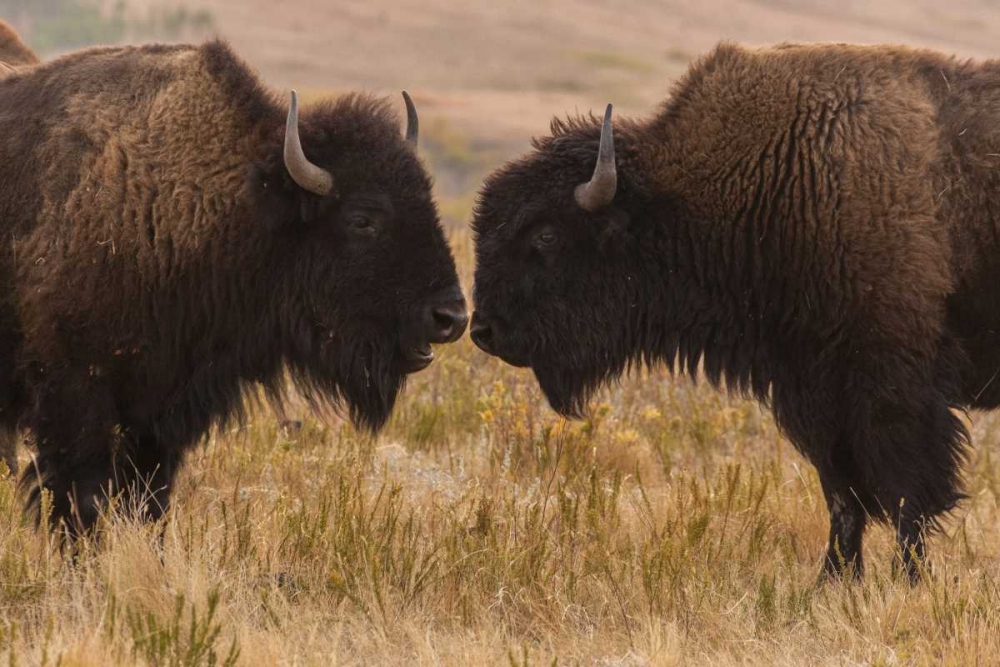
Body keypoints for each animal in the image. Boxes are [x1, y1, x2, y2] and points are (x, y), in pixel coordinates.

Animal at [0, 40, 466, 534]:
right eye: (362, 219)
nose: (451, 317)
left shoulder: (159, 414)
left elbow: (149, 498)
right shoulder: (75, 398)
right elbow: (80, 497)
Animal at [470, 42, 1000, 581]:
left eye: (546, 234)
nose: (484, 331)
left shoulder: (893, 388)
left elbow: (906, 494)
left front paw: (909, 579)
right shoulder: (814, 393)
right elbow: (844, 496)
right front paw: (833, 580)